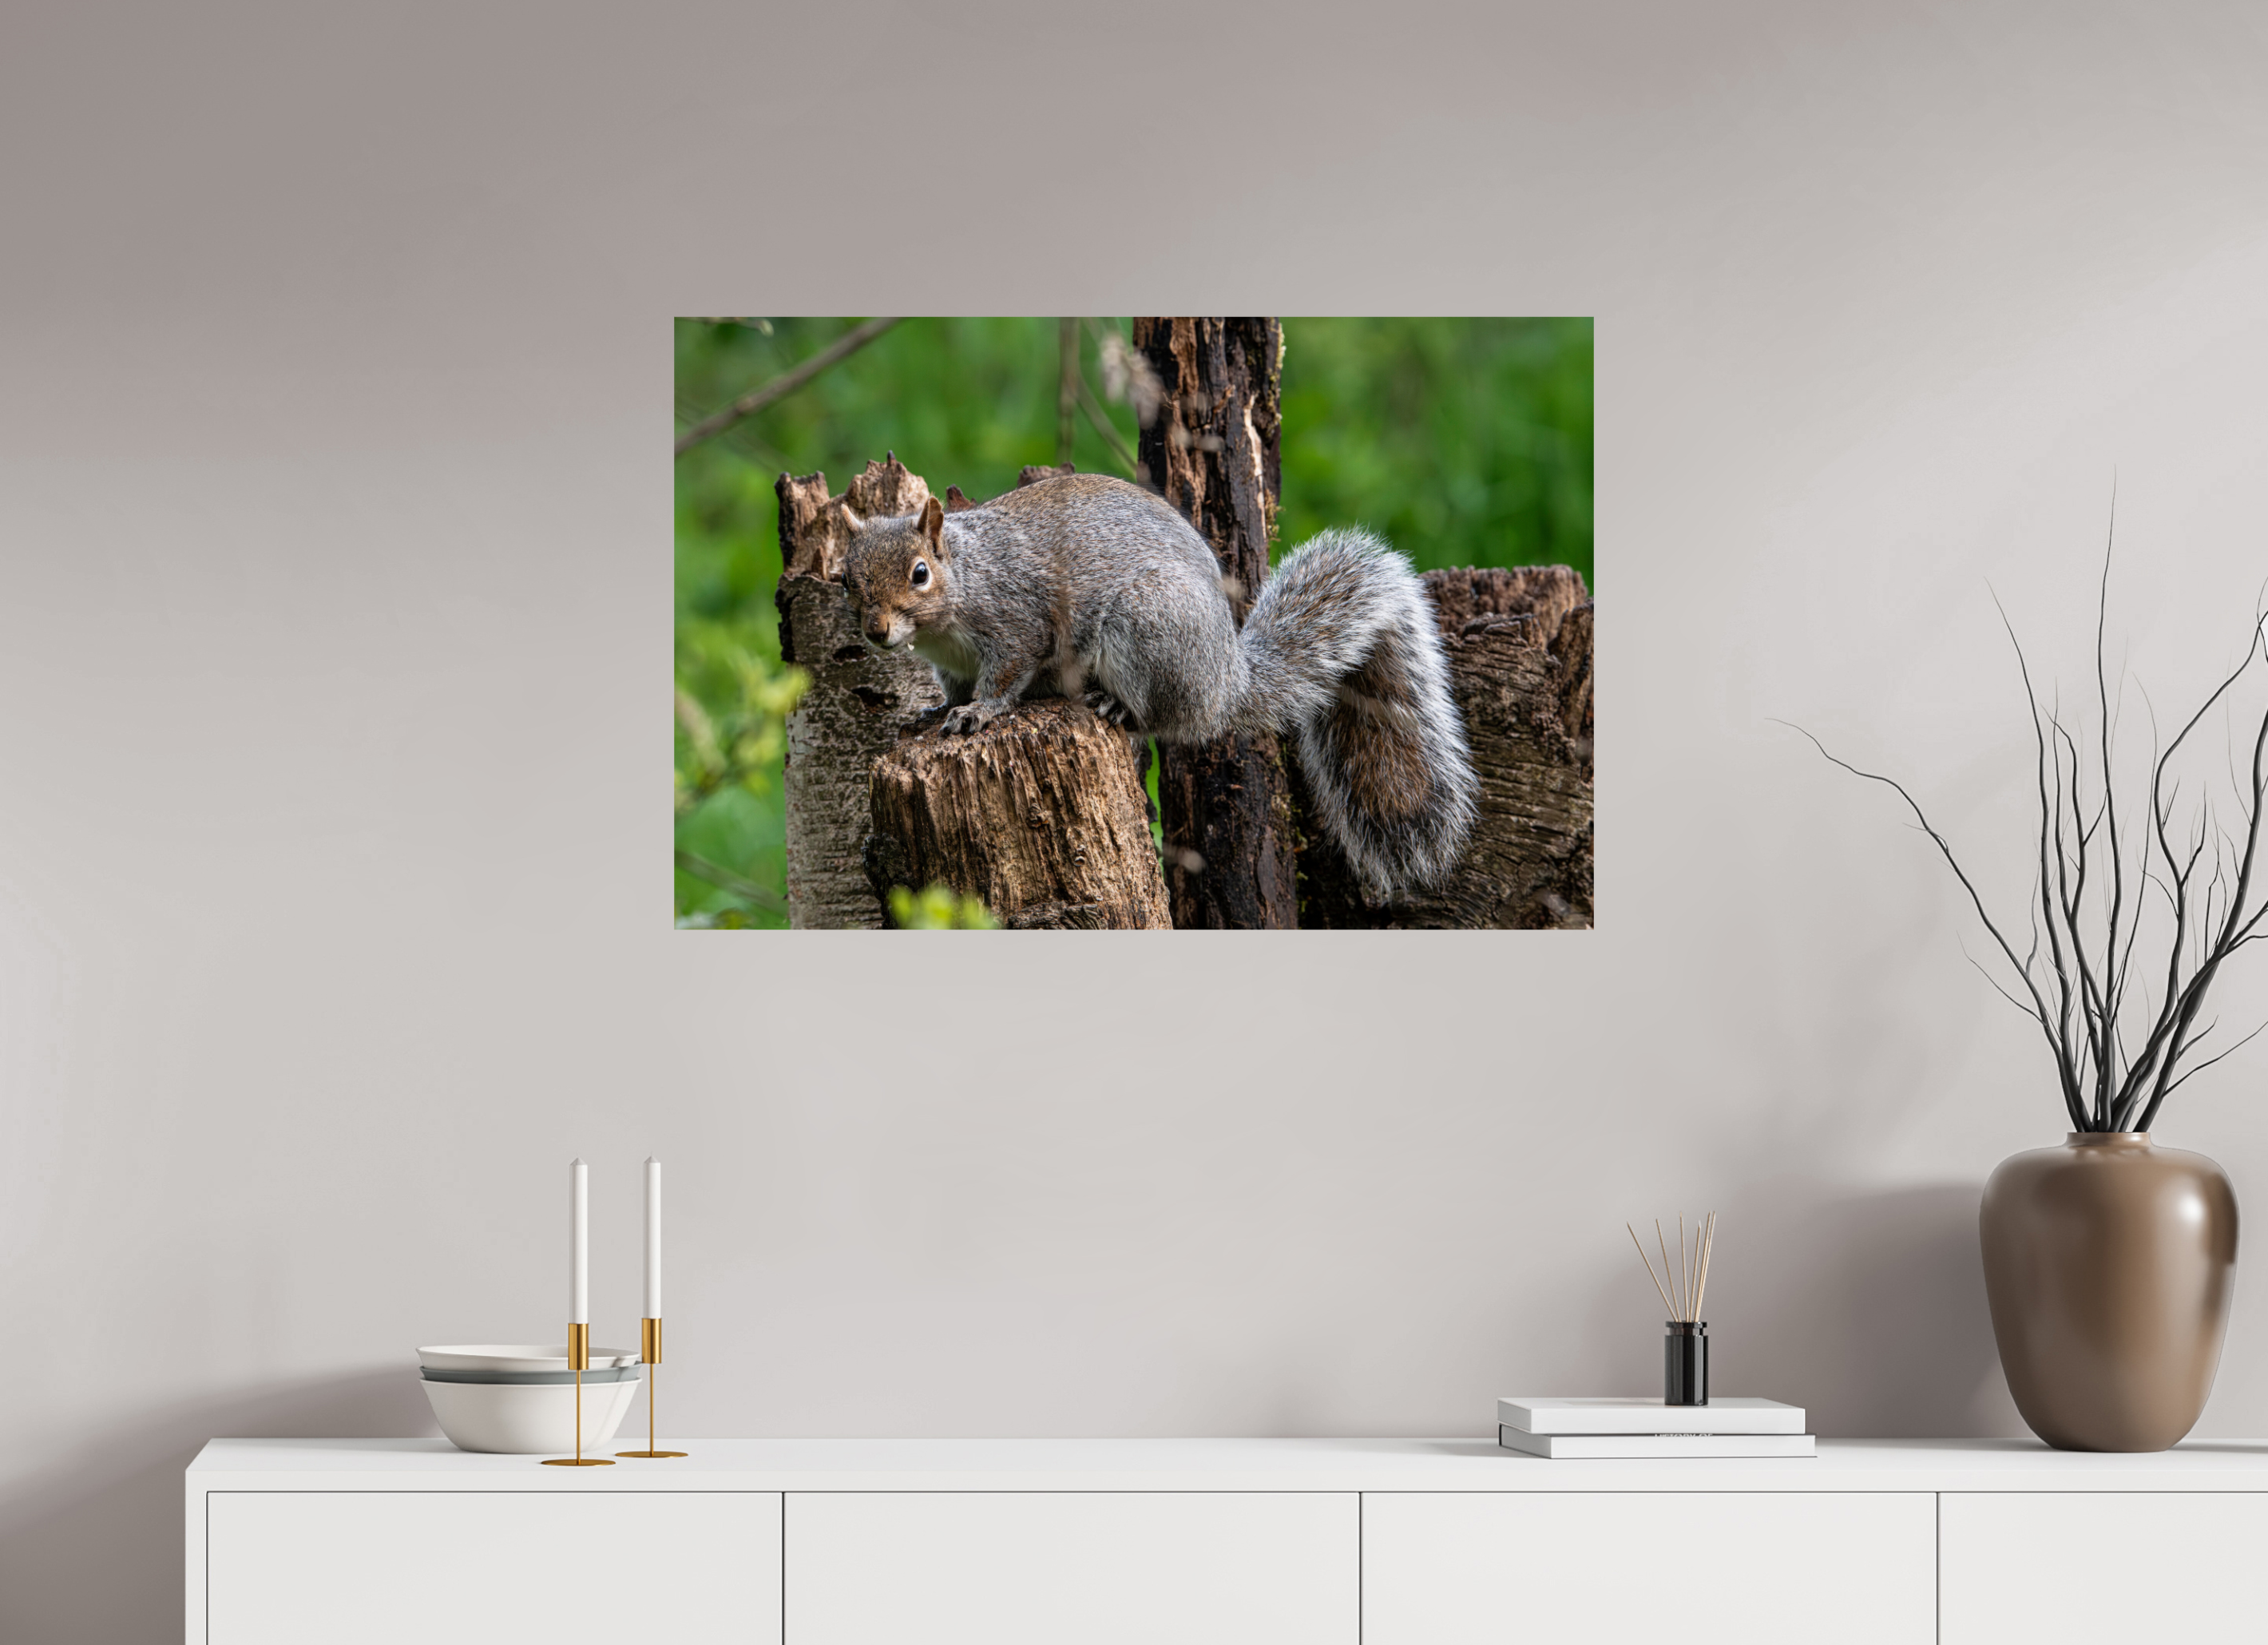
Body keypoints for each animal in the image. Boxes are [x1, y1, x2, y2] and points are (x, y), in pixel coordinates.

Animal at [840, 472, 1478, 893]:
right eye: (846, 578)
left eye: (920, 574)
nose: (876, 632)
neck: (966, 581)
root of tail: (1226, 682)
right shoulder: (950, 665)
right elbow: (951, 690)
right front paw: (931, 714)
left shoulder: (1017, 624)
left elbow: (1005, 677)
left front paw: (980, 713)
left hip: (1147, 630)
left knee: (1164, 717)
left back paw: (1118, 708)